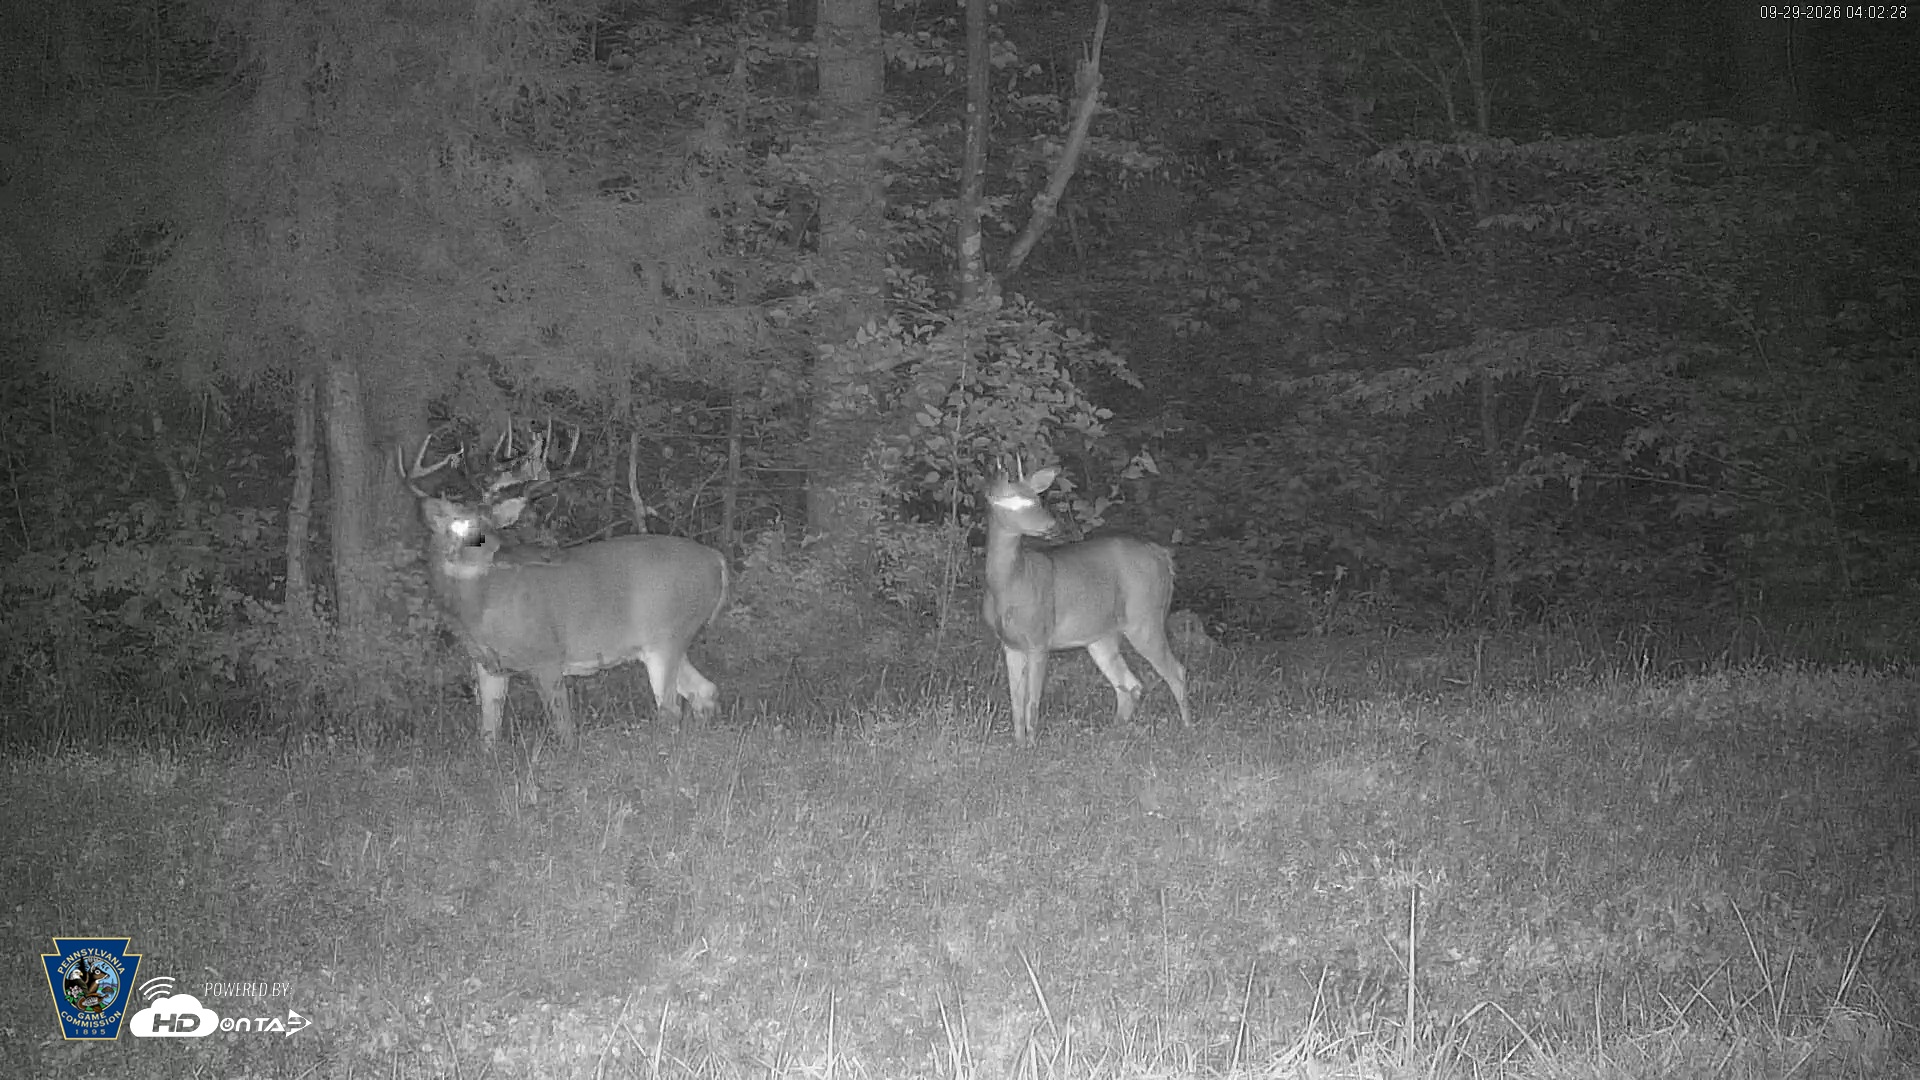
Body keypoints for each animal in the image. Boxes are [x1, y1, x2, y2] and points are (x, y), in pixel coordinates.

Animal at [403, 432, 728, 747]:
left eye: (488, 525)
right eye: (454, 525)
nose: (487, 547)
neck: (481, 610)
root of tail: (717, 560)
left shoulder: (547, 654)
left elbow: (565, 730)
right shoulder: (488, 665)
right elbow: (488, 735)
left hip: (668, 634)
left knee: (671, 709)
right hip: (665, 642)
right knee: (705, 691)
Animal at [981, 465, 1190, 748]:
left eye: (1036, 499)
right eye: (1014, 501)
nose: (1053, 526)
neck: (1009, 584)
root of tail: (1163, 556)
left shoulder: (1039, 638)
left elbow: (1032, 702)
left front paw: (1032, 746)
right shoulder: (1010, 645)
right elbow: (1015, 702)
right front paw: (1019, 745)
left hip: (1145, 617)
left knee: (1175, 671)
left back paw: (1188, 728)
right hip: (1100, 637)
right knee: (1130, 684)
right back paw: (1112, 734)